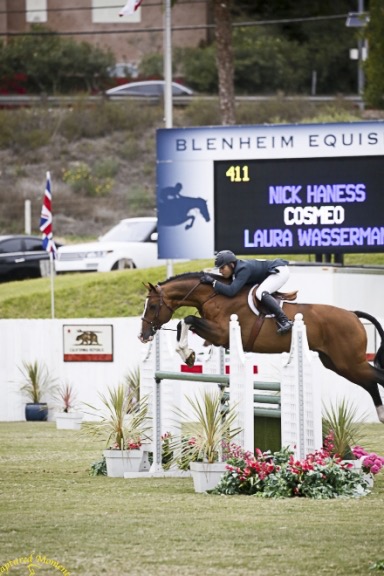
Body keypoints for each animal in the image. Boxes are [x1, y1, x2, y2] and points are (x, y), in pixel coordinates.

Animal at [139, 270, 384, 424]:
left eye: (152, 306)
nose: (143, 336)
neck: (215, 296)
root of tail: (352, 314)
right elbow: (184, 322)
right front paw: (187, 355)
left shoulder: (221, 334)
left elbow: (188, 319)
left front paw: (187, 353)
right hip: (338, 364)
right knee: (370, 382)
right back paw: (381, 415)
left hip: (349, 361)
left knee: (375, 378)